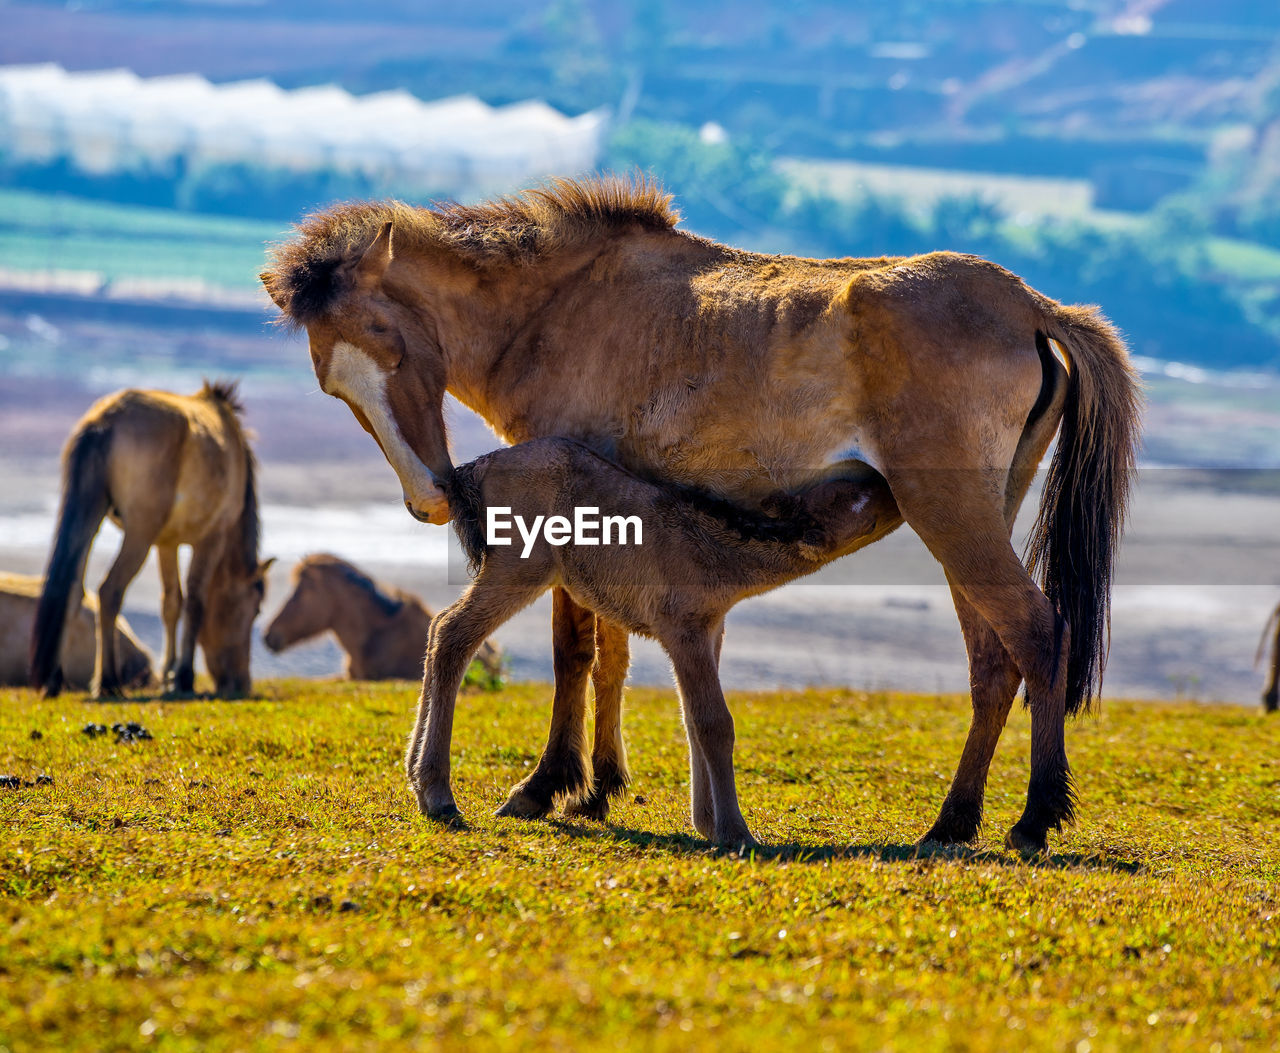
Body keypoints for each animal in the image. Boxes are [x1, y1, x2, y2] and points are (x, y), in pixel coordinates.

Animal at [30, 381, 271, 701]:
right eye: (255, 610)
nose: (241, 683)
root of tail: (104, 421)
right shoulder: (211, 537)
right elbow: (195, 601)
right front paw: (183, 677)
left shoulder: (166, 543)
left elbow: (171, 603)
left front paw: (168, 673)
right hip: (139, 533)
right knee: (110, 591)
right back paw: (108, 681)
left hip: (90, 517)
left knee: (71, 592)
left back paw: (55, 680)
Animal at [409, 437, 901, 849]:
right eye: (856, 495)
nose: (887, 480)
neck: (714, 549)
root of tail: (477, 467)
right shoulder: (683, 629)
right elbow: (713, 722)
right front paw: (735, 832)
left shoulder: (711, 629)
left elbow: (690, 718)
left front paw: (707, 821)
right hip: (520, 567)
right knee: (453, 635)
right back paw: (437, 792)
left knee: (436, 629)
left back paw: (415, 774)